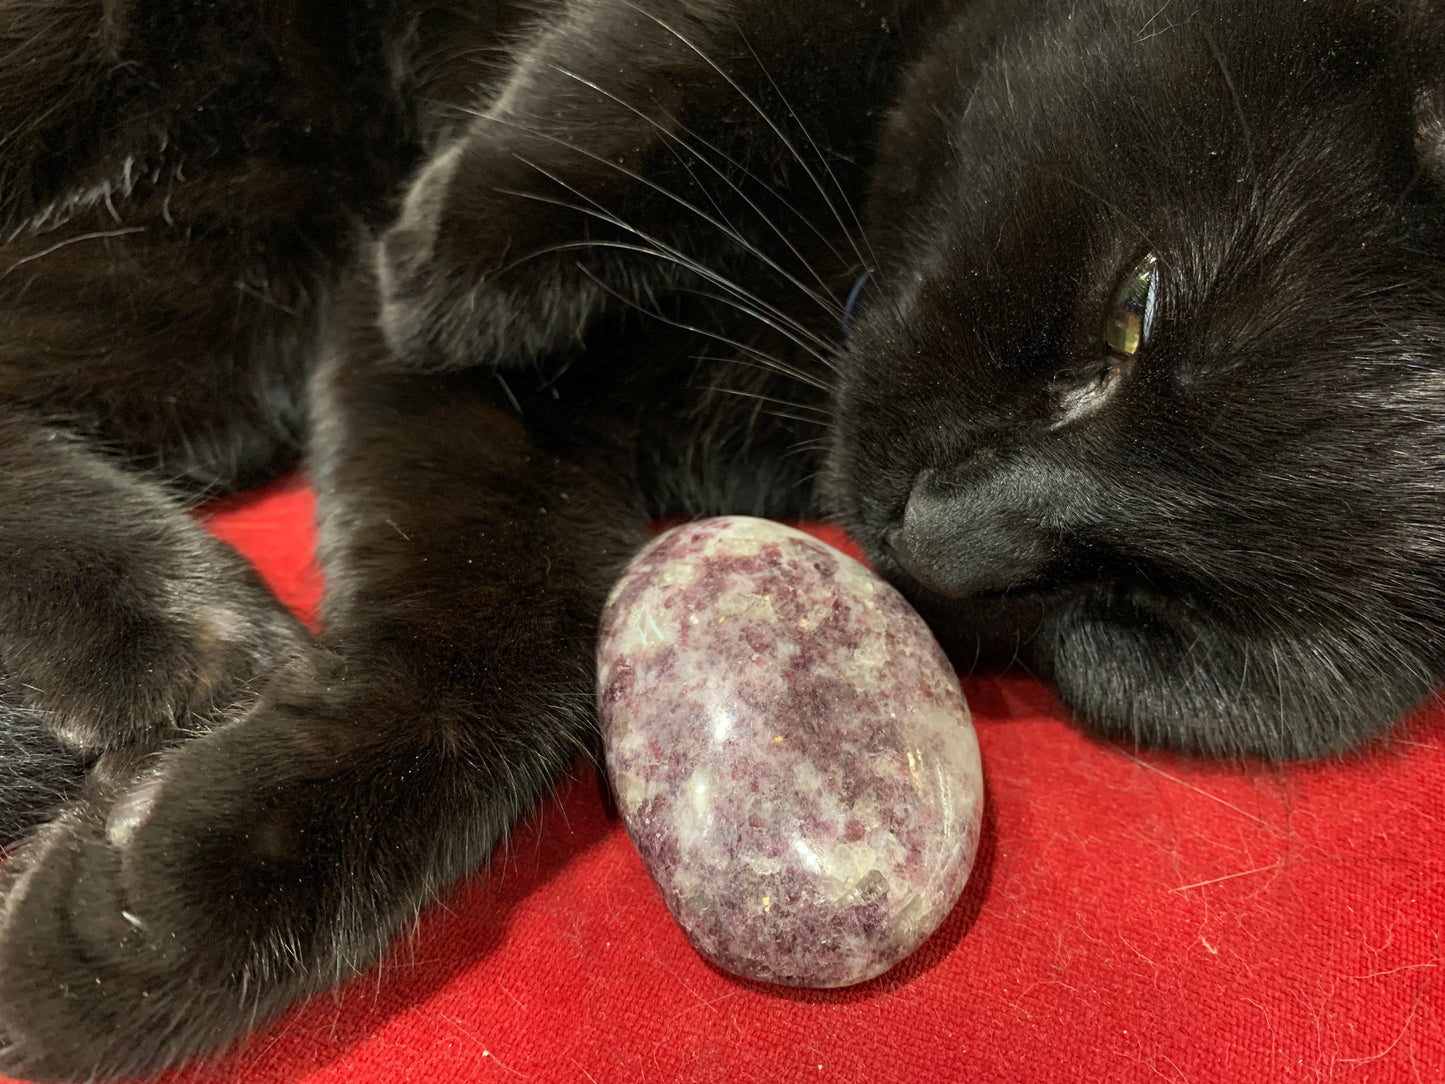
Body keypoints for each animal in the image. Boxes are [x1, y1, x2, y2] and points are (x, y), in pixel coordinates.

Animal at [2, 0, 1445, 1081]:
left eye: (1149, 619)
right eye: (1135, 316)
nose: (940, 537)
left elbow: (488, 663)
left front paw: (139, 923)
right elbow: (648, 56)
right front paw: (460, 251)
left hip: (216, 282)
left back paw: (169, 643)